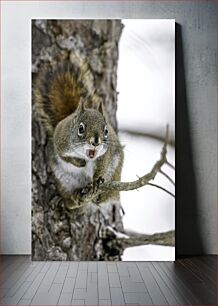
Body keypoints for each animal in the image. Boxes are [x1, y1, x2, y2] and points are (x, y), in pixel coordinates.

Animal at [33, 56, 123, 210]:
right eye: (81, 129)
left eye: (106, 131)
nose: (96, 142)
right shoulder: (60, 143)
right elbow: (64, 157)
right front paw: (79, 162)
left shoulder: (105, 154)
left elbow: (102, 167)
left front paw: (95, 182)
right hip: (64, 180)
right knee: (71, 196)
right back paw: (73, 198)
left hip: (114, 174)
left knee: (108, 194)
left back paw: (100, 196)